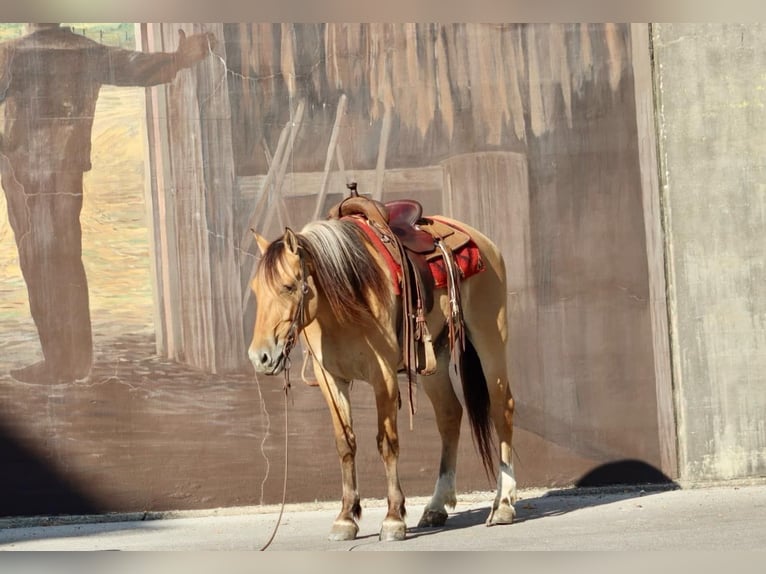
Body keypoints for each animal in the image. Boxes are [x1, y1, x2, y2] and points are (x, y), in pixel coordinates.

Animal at [249, 191, 520, 544]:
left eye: (289, 287)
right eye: (256, 290)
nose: (260, 357)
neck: (346, 297)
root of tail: (482, 241)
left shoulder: (384, 376)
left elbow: (387, 443)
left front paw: (393, 519)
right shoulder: (330, 378)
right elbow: (345, 443)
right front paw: (345, 518)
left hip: (491, 340)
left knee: (502, 409)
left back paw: (503, 505)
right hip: (434, 359)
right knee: (450, 415)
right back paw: (436, 506)